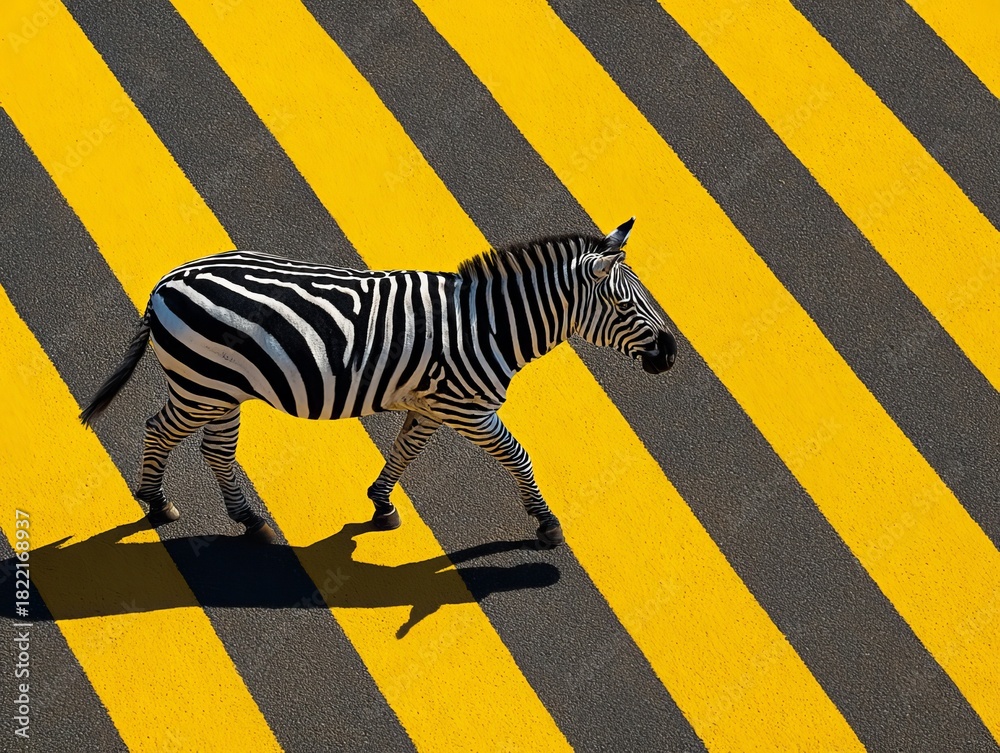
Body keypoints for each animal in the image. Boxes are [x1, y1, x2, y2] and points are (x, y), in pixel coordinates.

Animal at [80, 218, 676, 547]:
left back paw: (248, 520)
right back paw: (157, 504)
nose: (671, 354)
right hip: (203, 384)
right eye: (626, 305)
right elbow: (518, 456)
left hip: (222, 388)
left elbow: (406, 450)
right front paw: (547, 524)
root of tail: (166, 281)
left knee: (215, 450)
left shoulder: (434, 403)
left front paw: (381, 504)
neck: (488, 324)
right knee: (160, 429)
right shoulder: (467, 408)